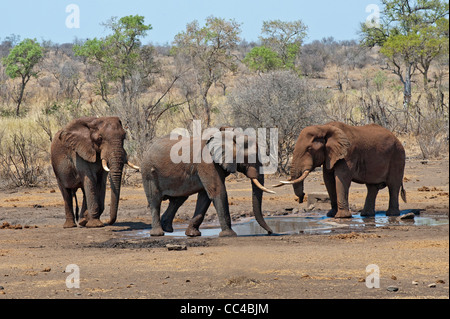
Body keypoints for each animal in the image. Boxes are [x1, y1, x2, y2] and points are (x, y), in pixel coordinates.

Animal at [141, 129, 274, 238]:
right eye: (251, 156)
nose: (270, 232)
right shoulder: (206, 162)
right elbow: (218, 191)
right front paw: (229, 235)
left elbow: (205, 197)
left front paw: (192, 234)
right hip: (148, 172)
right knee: (155, 200)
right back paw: (158, 233)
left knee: (178, 200)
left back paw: (167, 229)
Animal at [274, 121, 408, 219]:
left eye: (309, 149)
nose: (301, 198)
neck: (324, 128)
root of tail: (396, 138)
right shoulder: (329, 155)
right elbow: (328, 180)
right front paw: (331, 215)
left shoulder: (348, 154)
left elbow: (341, 178)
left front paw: (342, 217)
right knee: (372, 187)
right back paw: (366, 215)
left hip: (398, 156)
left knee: (393, 185)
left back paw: (392, 214)